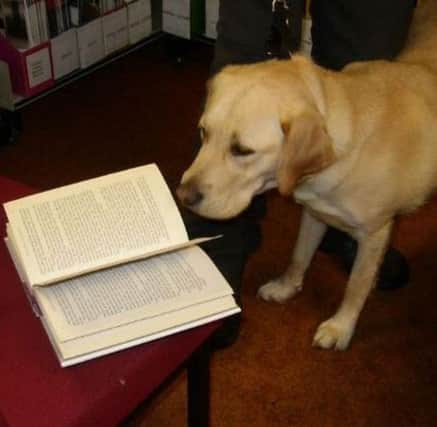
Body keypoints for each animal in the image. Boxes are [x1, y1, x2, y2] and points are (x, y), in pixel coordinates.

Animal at [175, 0, 436, 352]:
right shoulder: (314, 212)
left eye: (242, 150)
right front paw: (286, 287)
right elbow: (299, 256)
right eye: (203, 132)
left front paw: (340, 327)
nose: (183, 195)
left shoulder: (376, 234)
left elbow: (355, 287)